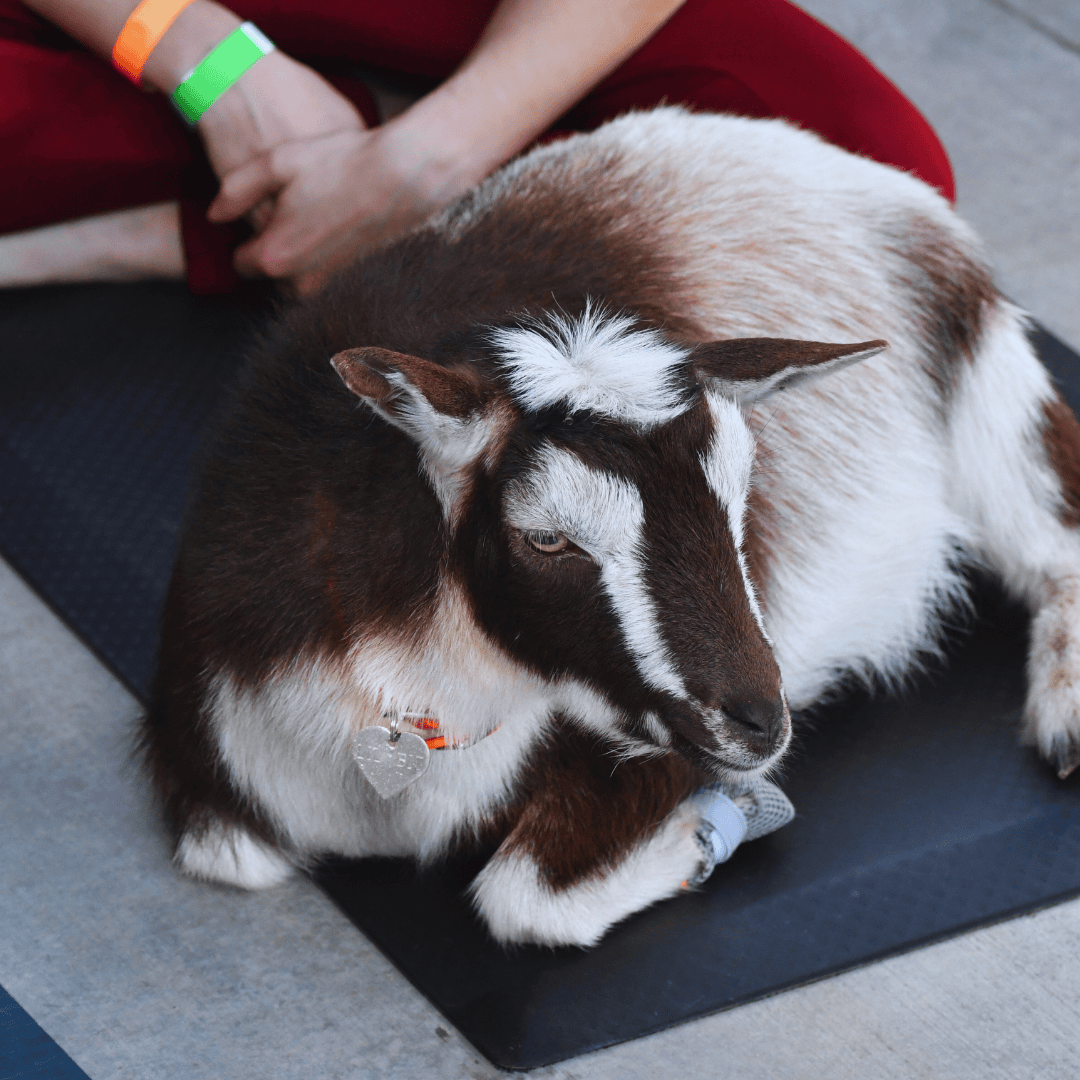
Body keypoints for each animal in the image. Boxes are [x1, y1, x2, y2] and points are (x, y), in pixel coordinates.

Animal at [144, 107, 1080, 947]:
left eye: (741, 498)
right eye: (547, 538)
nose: (761, 724)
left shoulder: (647, 749)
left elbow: (522, 898)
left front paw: (709, 833)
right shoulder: (217, 761)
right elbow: (232, 859)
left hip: (983, 378)